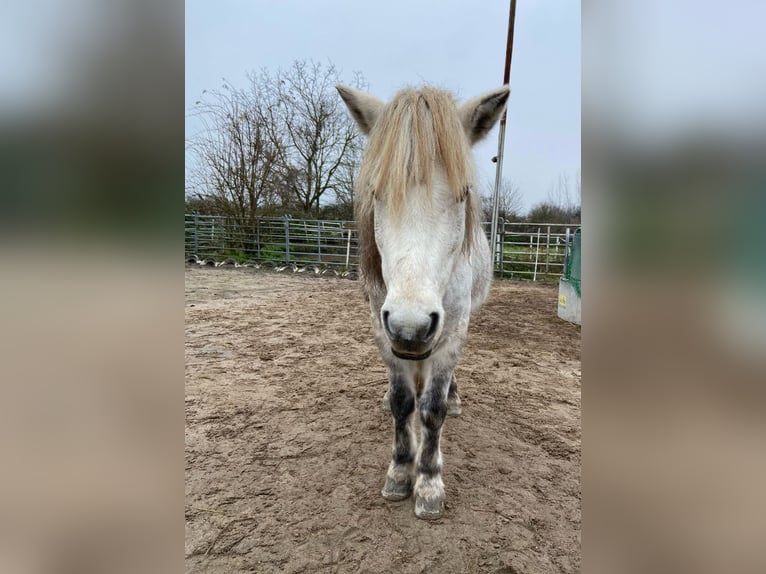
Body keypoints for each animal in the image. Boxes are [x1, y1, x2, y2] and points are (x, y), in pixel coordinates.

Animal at [337, 83, 509, 519]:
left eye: (463, 194)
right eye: (376, 192)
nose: (410, 325)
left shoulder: (452, 330)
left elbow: (431, 409)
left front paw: (428, 482)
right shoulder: (382, 327)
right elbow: (403, 403)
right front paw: (400, 471)